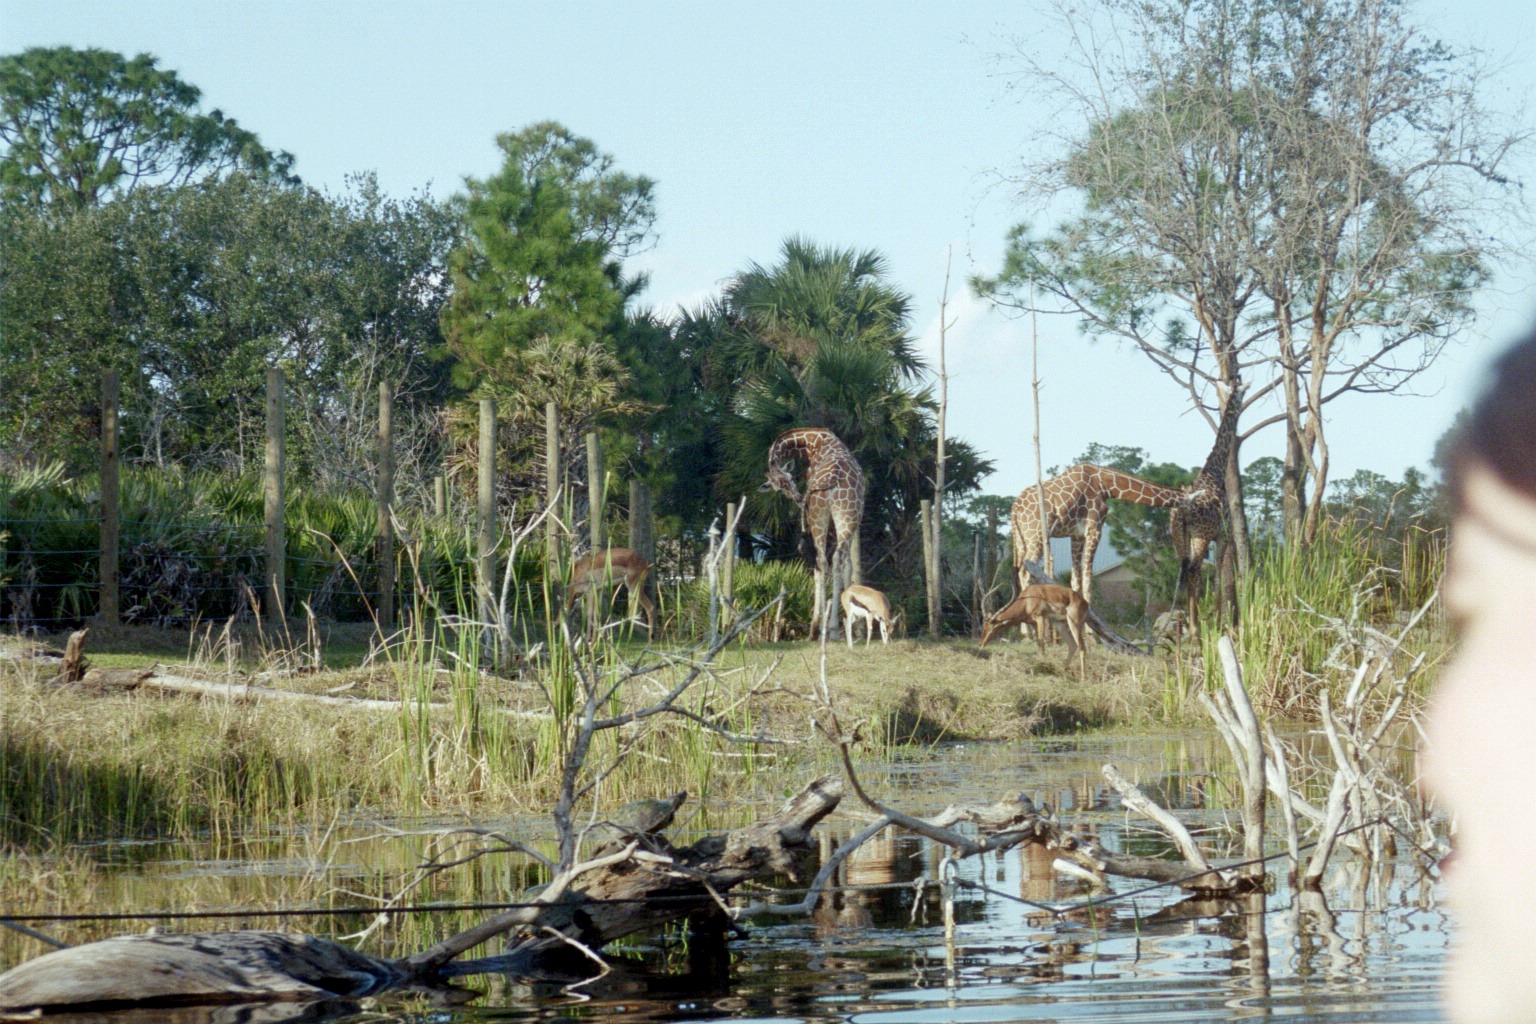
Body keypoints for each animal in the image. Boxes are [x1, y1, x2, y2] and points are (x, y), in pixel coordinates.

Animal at [761, 427, 865, 640]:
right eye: (779, 489)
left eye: (789, 479)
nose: (798, 497)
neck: (812, 441)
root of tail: (830, 479)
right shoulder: (854, 522)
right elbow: (847, 565)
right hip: (844, 517)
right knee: (833, 560)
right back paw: (830, 628)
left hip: (820, 518)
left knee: (822, 562)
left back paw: (821, 628)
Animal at [1009, 465, 1202, 606]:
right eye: (1193, 508)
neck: (1105, 485)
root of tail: (1015, 508)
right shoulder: (1094, 529)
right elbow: (1088, 578)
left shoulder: (1077, 535)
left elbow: (1075, 579)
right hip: (1035, 536)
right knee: (1026, 574)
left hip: (1021, 539)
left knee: (1020, 574)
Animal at [1170, 384, 1246, 636]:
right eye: (1239, 393)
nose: (1240, 403)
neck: (1215, 473)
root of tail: (1182, 511)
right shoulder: (1223, 535)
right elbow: (1219, 576)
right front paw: (1221, 620)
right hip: (1200, 537)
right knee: (1193, 570)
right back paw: (1196, 629)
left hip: (1179, 538)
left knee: (1185, 571)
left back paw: (1191, 629)